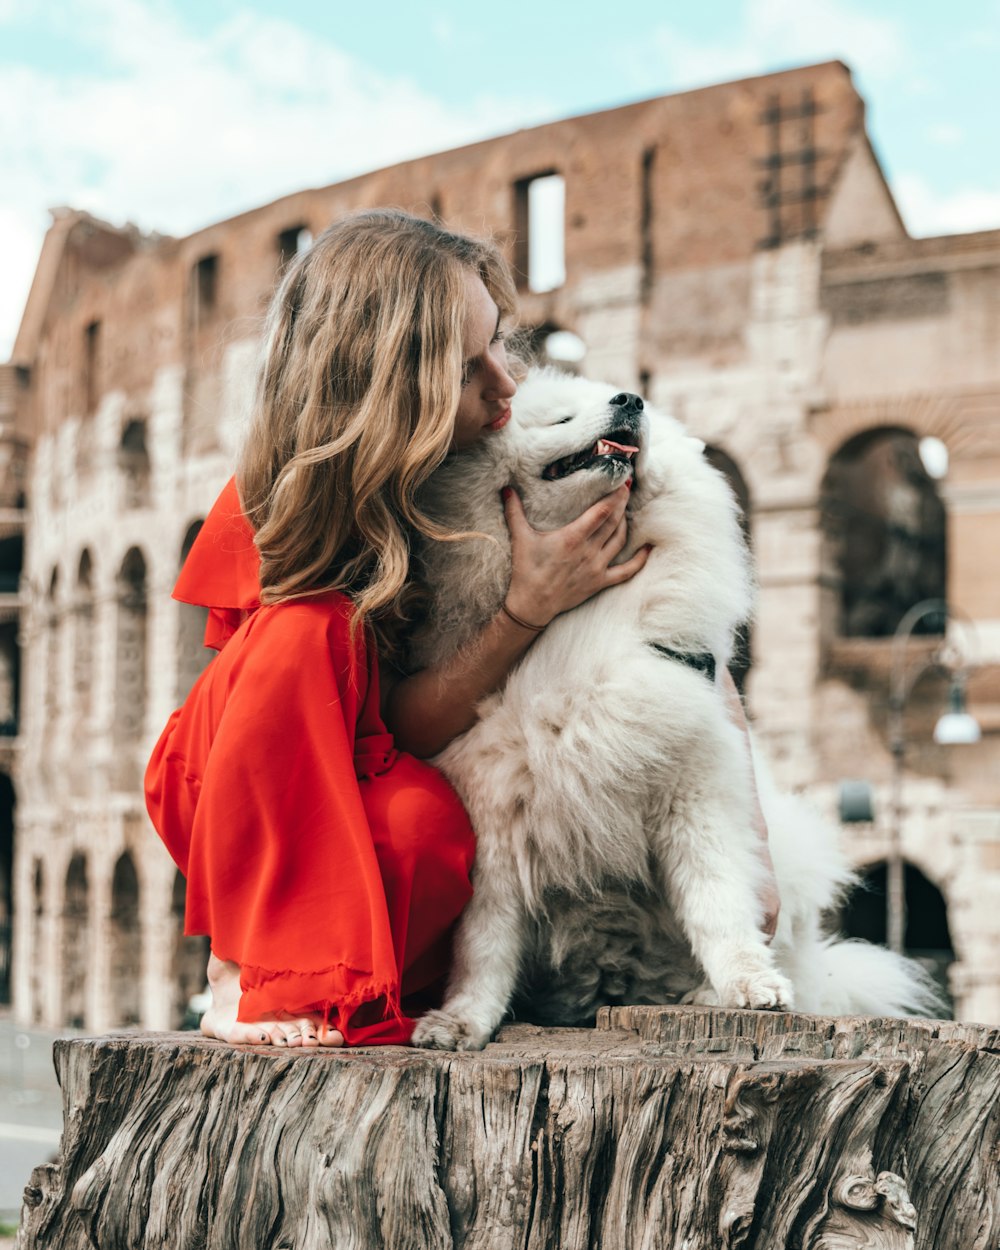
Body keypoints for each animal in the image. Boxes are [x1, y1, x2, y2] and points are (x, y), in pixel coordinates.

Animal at [410, 365, 940, 1050]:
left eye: (631, 406)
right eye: (558, 418)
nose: (630, 399)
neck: (579, 620)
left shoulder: (692, 792)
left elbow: (719, 906)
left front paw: (749, 985)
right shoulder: (498, 821)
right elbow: (483, 948)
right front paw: (460, 1021)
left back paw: (714, 991)